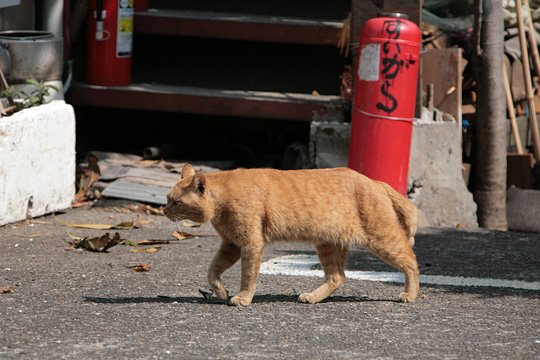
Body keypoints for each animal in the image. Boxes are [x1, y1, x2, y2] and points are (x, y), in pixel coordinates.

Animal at [162, 163, 420, 306]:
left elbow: (248, 275)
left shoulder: (250, 244)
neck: (223, 199)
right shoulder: (231, 245)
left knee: (411, 261)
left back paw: (410, 294)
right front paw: (221, 292)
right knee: (337, 277)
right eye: (167, 199)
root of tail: (375, 181)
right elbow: (212, 270)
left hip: (381, 239)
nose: (163, 210)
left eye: (176, 202)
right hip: (328, 245)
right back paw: (312, 297)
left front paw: (243, 298)